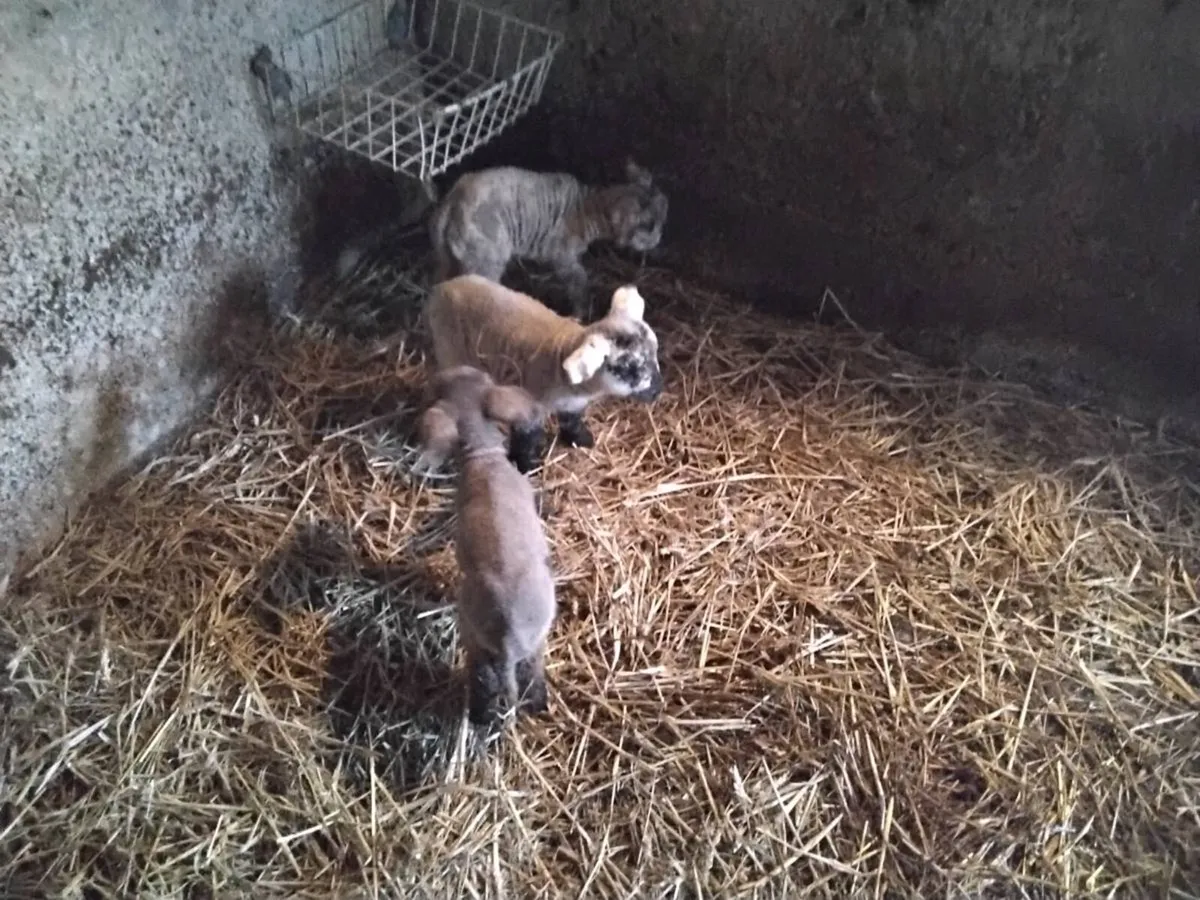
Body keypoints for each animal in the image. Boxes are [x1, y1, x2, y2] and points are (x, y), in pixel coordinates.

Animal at [415, 365, 557, 725]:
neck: (485, 456)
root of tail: (509, 640)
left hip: (476, 636)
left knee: (487, 677)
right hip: (531, 640)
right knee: (529, 678)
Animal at [423, 275, 665, 474]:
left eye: (655, 351)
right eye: (628, 367)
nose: (657, 392)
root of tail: (443, 286)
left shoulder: (572, 405)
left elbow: (572, 421)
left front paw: (581, 439)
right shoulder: (528, 406)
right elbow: (526, 438)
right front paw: (526, 465)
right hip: (448, 348)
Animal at [428, 159, 669, 320]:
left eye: (662, 221)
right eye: (650, 227)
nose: (658, 239)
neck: (588, 207)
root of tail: (455, 198)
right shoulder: (562, 257)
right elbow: (579, 281)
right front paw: (580, 311)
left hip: (445, 257)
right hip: (487, 259)